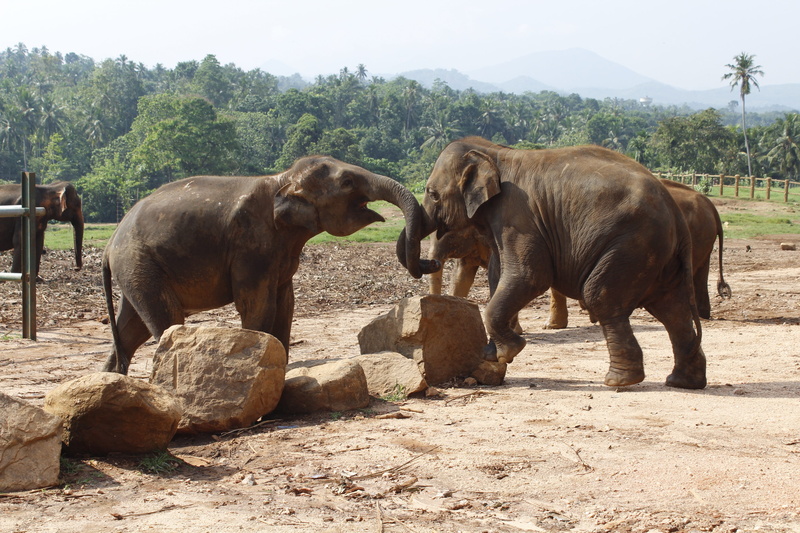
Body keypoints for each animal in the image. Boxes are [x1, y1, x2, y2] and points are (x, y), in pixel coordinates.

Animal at [102, 155, 437, 374]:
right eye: (347, 182)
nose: (430, 260)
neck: (283, 179)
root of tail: (109, 245)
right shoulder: (251, 245)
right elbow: (258, 305)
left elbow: (286, 304)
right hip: (139, 263)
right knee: (167, 320)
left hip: (136, 270)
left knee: (131, 329)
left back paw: (113, 379)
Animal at [397, 137, 706, 389]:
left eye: (432, 193)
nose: (429, 262)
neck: (494, 152)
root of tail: (674, 211)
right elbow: (500, 274)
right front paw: (492, 355)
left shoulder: (516, 213)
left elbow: (529, 275)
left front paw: (509, 351)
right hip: (658, 254)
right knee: (672, 310)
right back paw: (682, 382)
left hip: (631, 244)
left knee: (602, 297)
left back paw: (619, 381)